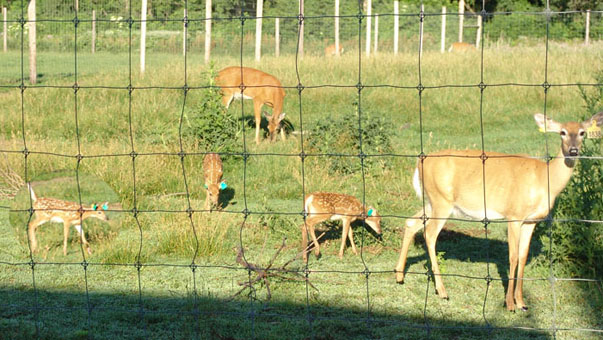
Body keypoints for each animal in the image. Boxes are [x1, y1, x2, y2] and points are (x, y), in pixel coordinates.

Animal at [396, 111, 603, 310]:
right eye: (562, 132)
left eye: (582, 133)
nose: (573, 151)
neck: (545, 179)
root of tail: (420, 161)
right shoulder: (514, 214)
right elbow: (512, 257)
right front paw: (509, 304)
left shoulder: (531, 221)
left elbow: (523, 256)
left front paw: (522, 302)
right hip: (441, 201)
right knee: (429, 234)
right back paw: (442, 290)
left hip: (433, 201)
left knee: (411, 222)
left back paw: (399, 276)